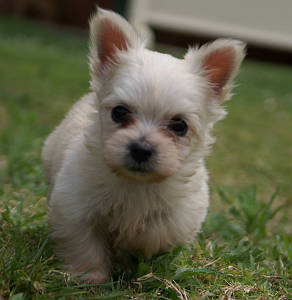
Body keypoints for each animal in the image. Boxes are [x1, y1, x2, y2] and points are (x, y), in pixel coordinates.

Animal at [42, 8, 245, 282]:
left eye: (179, 126)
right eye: (119, 112)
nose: (141, 150)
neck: (136, 185)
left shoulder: (179, 218)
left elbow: (153, 235)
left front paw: (130, 246)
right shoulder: (74, 207)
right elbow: (85, 246)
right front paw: (90, 278)